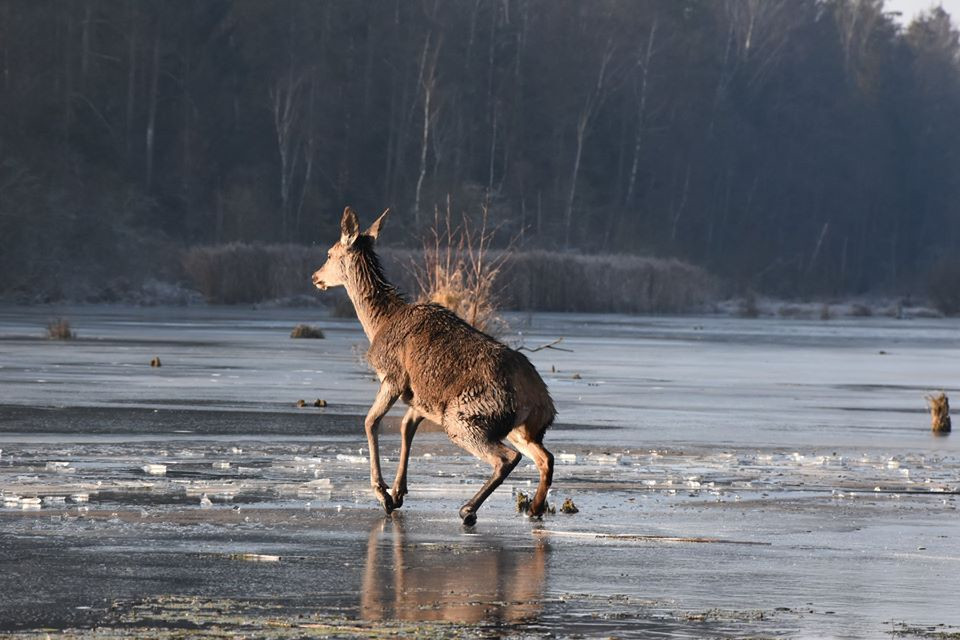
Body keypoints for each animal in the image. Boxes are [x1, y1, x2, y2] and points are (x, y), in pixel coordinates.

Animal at [314, 209, 556, 524]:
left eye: (329, 253)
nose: (315, 276)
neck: (377, 323)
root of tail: (542, 400)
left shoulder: (393, 375)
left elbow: (370, 422)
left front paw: (382, 494)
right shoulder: (421, 398)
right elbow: (406, 428)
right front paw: (398, 492)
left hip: (466, 415)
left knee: (507, 458)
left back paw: (469, 509)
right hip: (521, 427)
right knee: (545, 457)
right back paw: (535, 508)